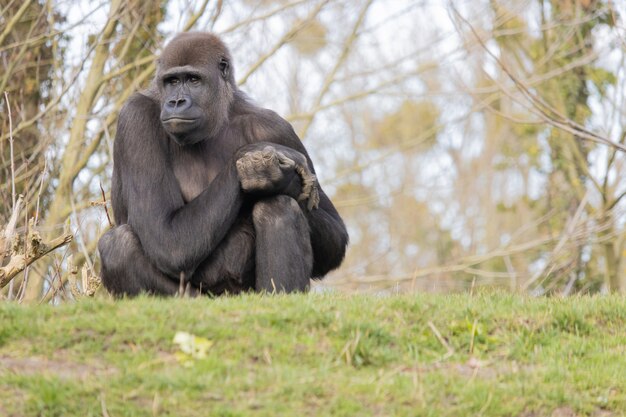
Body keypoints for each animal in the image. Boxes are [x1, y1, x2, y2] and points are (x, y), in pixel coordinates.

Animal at [100, 32, 348, 294]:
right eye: (172, 81)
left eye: (193, 80)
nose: (176, 102)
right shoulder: (135, 117)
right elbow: (165, 237)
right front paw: (260, 162)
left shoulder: (276, 127)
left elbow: (335, 238)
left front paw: (280, 179)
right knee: (118, 246)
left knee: (277, 206)